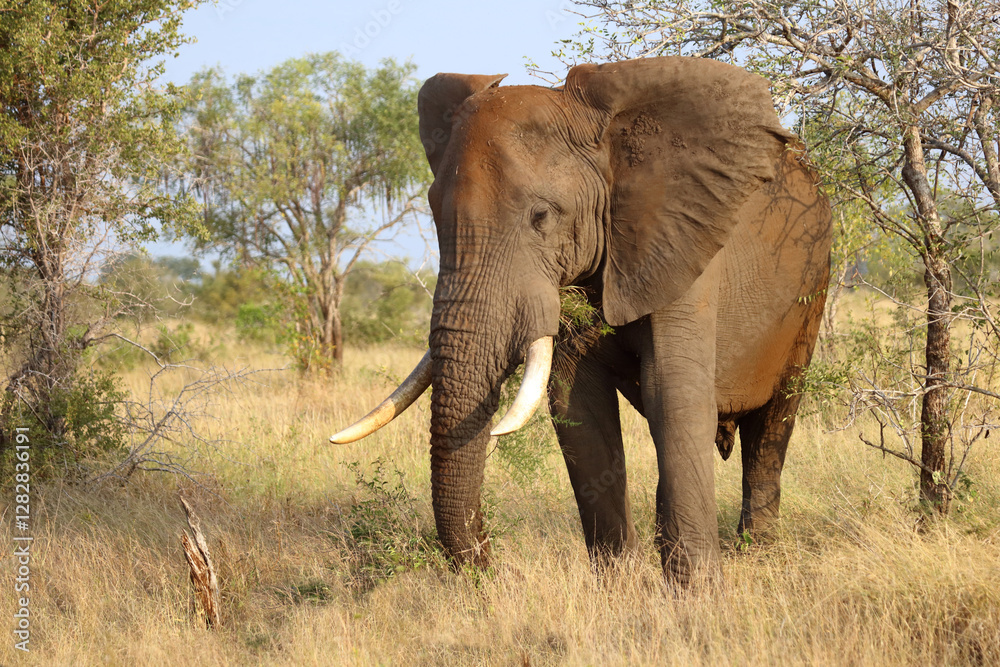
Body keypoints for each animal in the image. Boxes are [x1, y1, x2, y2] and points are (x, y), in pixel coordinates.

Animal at [331, 56, 831, 585]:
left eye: (541, 216)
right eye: (432, 211)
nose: (493, 571)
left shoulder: (681, 237)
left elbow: (673, 393)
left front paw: (697, 592)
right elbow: (577, 406)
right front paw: (620, 587)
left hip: (813, 285)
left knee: (773, 426)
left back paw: (758, 553)